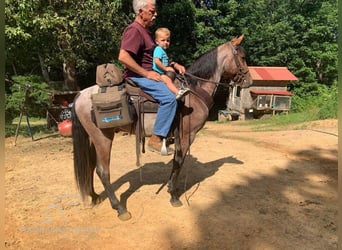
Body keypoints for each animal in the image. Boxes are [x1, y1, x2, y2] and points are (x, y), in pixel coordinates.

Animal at [72, 34, 252, 220]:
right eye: (242, 57)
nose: (249, 81)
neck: (194, 90)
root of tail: (81, 95)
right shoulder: (188, 135)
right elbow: (178, 162)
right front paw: (173, 195)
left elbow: (176, 162)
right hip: (103, 138)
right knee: (103, 171)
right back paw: (120, 208)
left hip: (93, 138)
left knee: (90, 166)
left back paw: (94, 196)